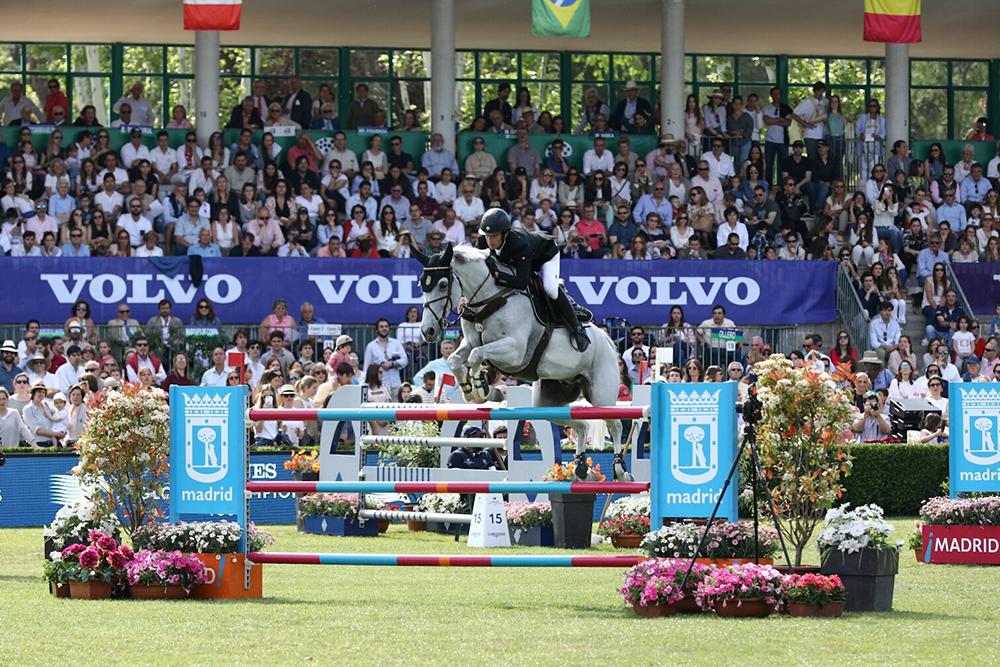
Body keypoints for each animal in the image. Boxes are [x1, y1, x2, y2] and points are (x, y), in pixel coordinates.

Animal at [414, 244, 624, 480]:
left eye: (443, 284)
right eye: (421, 284)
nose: (428, 331)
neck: (489, 300)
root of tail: (607, 340)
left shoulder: (514, 351)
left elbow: (476, 355)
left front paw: (480, 387)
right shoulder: (470, 343)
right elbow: (455, 359)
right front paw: (469, 390)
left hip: (601, 395)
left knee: (615, 425)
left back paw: (620, 469)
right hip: (547, 402)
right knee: (580, 425)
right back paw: (579, 467)